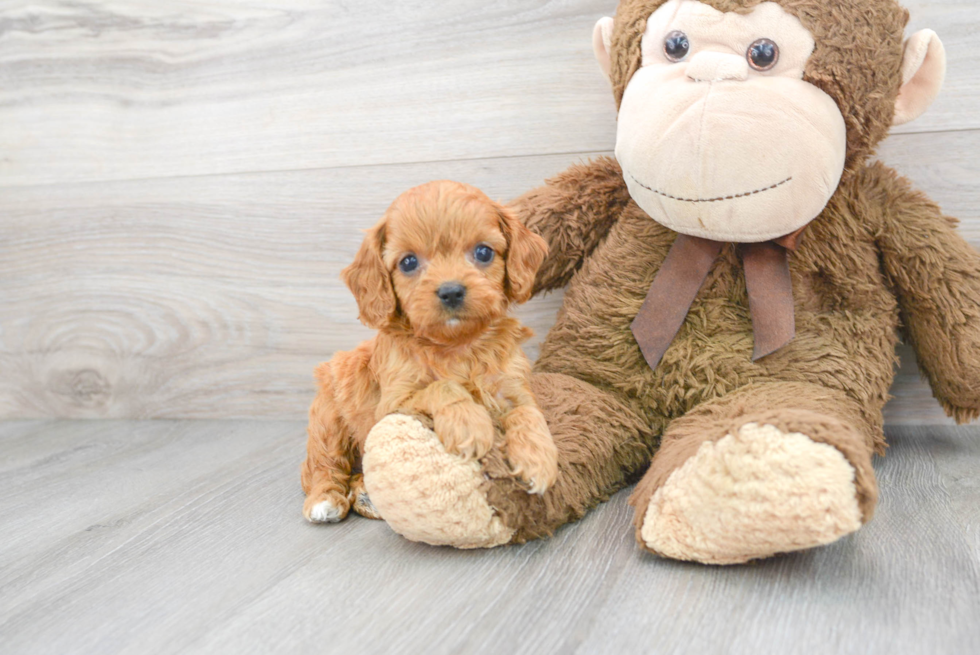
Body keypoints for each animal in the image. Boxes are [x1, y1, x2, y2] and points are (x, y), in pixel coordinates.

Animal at [298, 178, 560, 524]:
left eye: (484, 252)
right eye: (408, 262)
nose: (451, 291)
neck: (458, 345)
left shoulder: (513, 386)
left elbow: (527, 412)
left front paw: (538, 458)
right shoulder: (393, 403)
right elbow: (442, 387)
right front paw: (469, 424)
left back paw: (367, 495)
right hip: (328, 420)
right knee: (322, 465)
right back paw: (324, 500)